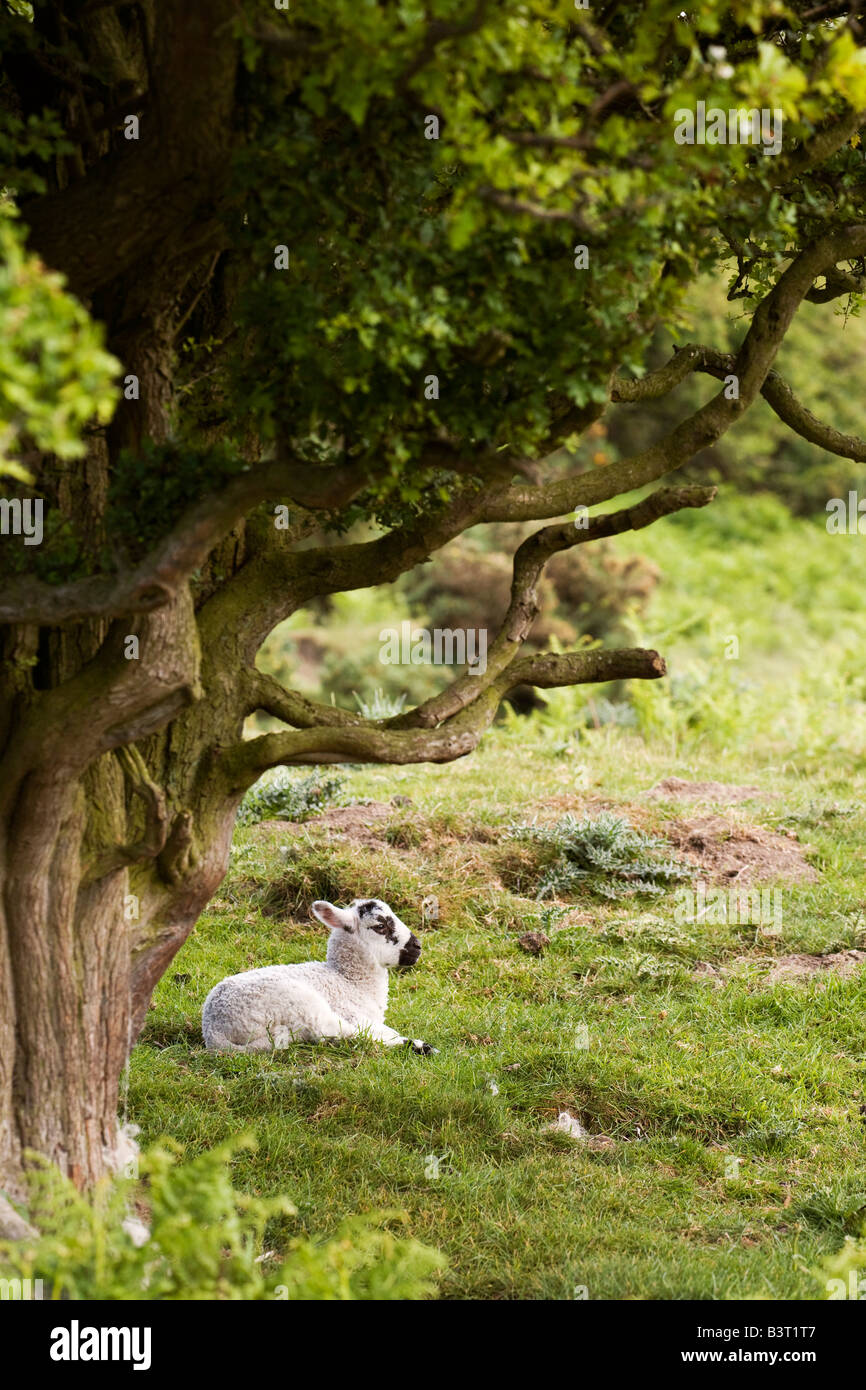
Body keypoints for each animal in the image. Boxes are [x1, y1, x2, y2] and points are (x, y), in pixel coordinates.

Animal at [200, 900, 436, 1050]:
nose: (418, 946)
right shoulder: (351, 1012)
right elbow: (375, 1031)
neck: (349, 980)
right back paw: (420, 1046)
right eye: (380, 926)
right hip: (299, 1004)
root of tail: (213, 1029)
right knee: (340, 1034)